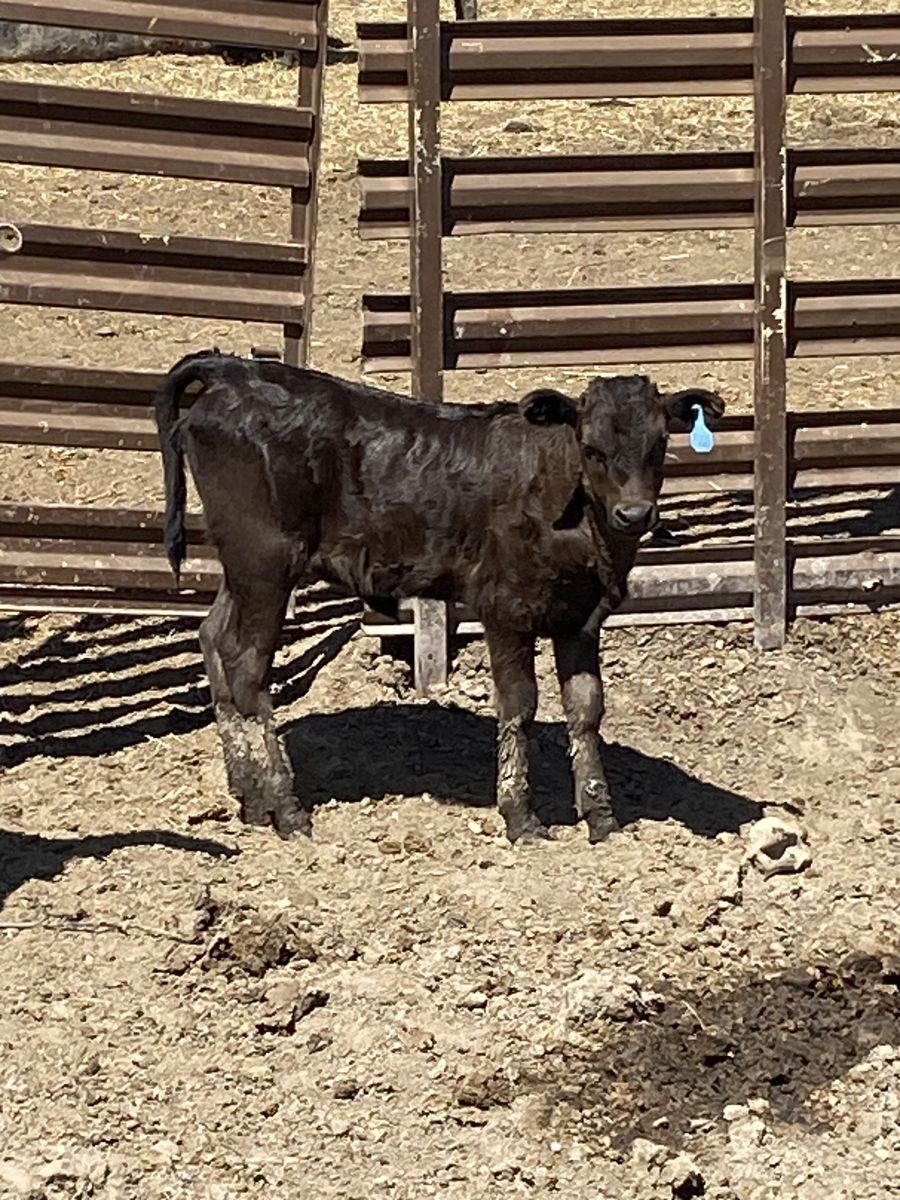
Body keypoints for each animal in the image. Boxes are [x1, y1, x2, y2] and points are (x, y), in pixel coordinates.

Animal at [154, 352, 723, 845]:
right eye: (591, 448)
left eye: (659, 444)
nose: (634, 514)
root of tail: (233, 372)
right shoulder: (505, 607)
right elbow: (519, 705)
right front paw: (520, 815)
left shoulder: (581, 618)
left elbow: (586, 708)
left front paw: (600, 814)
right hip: (265, 563)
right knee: (247, 669)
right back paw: (286, 807)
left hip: (243, 568)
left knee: (213, 638)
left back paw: (249, 795)